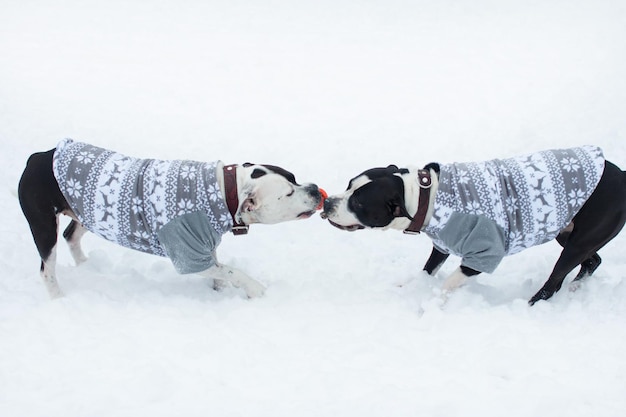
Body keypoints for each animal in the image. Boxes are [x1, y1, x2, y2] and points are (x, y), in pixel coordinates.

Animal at [18, 140, 322, 300]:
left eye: (294, 178)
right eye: (288, 192)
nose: (314, 189)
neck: (225, 191)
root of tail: (39, 156)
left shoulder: (203, 246)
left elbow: (221, 270)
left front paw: (220, 293)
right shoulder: (188, 256)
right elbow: (231, 270)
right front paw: (255, 288)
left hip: (86, 211)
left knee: (71, 236)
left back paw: (85, 265)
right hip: (44, 226)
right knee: (47, 268)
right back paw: (59, 298)